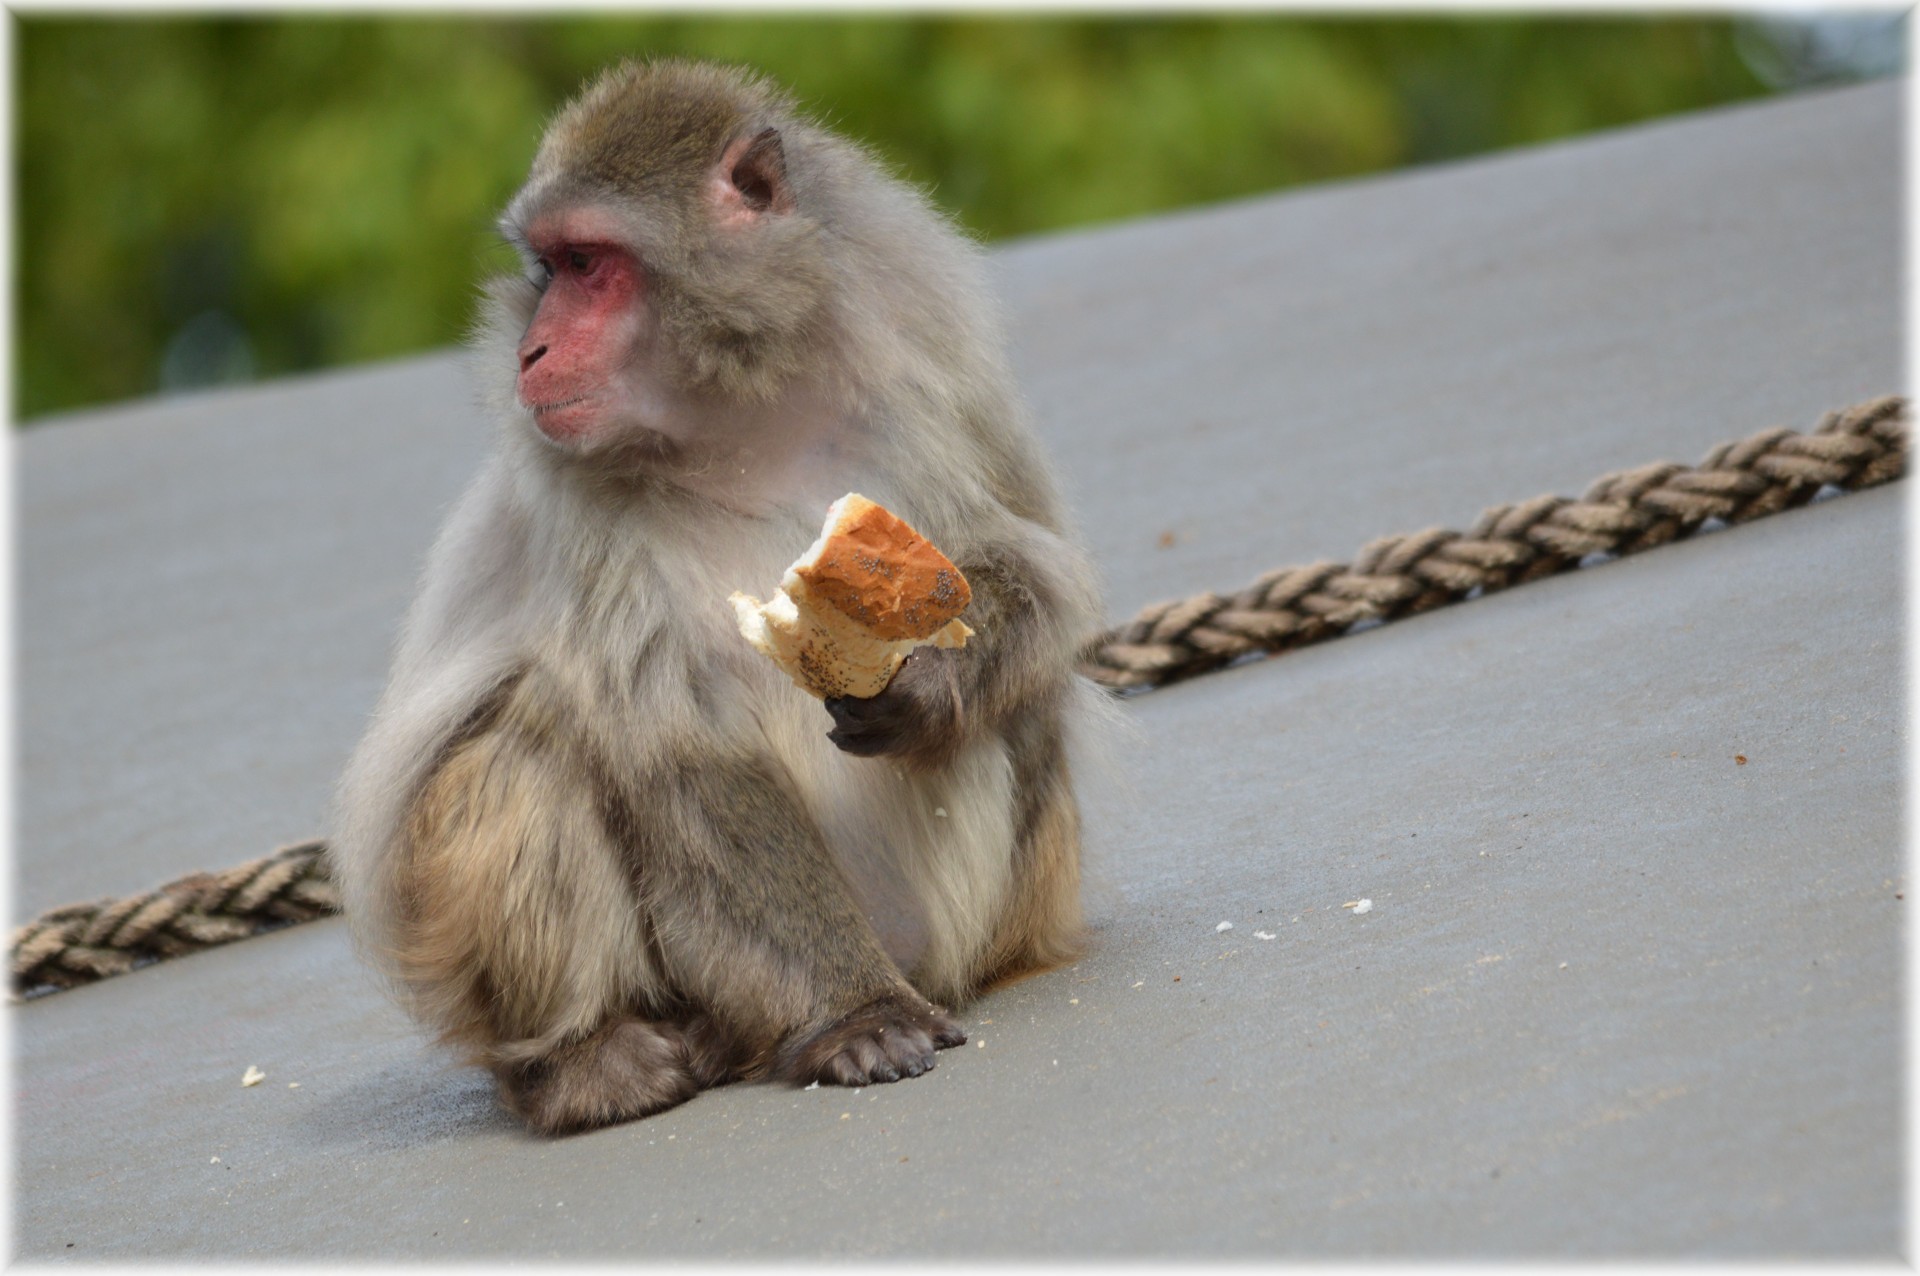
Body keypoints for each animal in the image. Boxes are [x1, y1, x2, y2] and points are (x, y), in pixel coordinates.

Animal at [334, 59, 1098, 1135]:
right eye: (548, 269)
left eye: (588, 264)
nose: (531, 352)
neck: (743, 413)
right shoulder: (577, 492)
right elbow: (686, 752)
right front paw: (855, 1017)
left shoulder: (935, 368)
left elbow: (1034, 567)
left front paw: (928, 683)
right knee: (530, 737)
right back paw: (589, 1059)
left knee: (1025, 707)